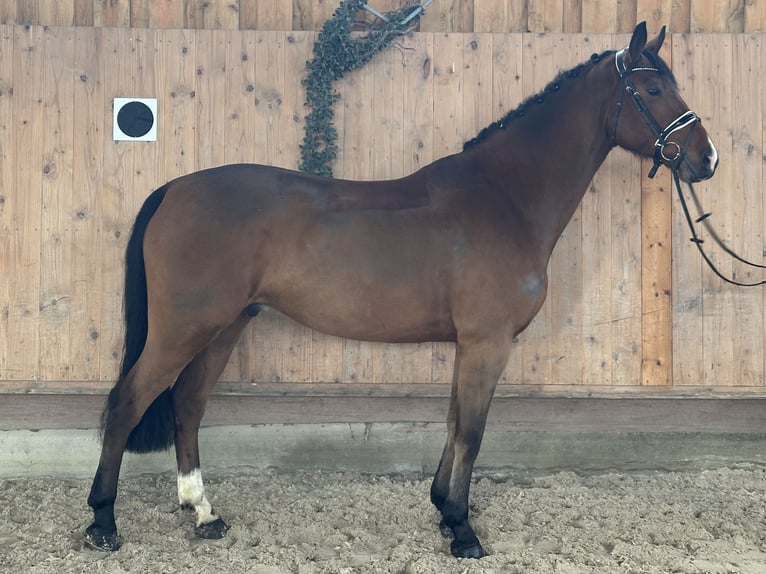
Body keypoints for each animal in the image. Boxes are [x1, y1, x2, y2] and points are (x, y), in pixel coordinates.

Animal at [85, 22, 718, 559]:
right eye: (654, 87)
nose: (706, 159)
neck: (504, 197)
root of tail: (174, 188)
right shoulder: (488, 342)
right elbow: (472, 429)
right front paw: (463, 531)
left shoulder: (471, 344)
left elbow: (454, 419)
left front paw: (443, 509)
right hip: (184, 327)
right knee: (128, 403)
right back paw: (103, 524)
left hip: (225, 326)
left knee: (188, 404)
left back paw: (204, 515)